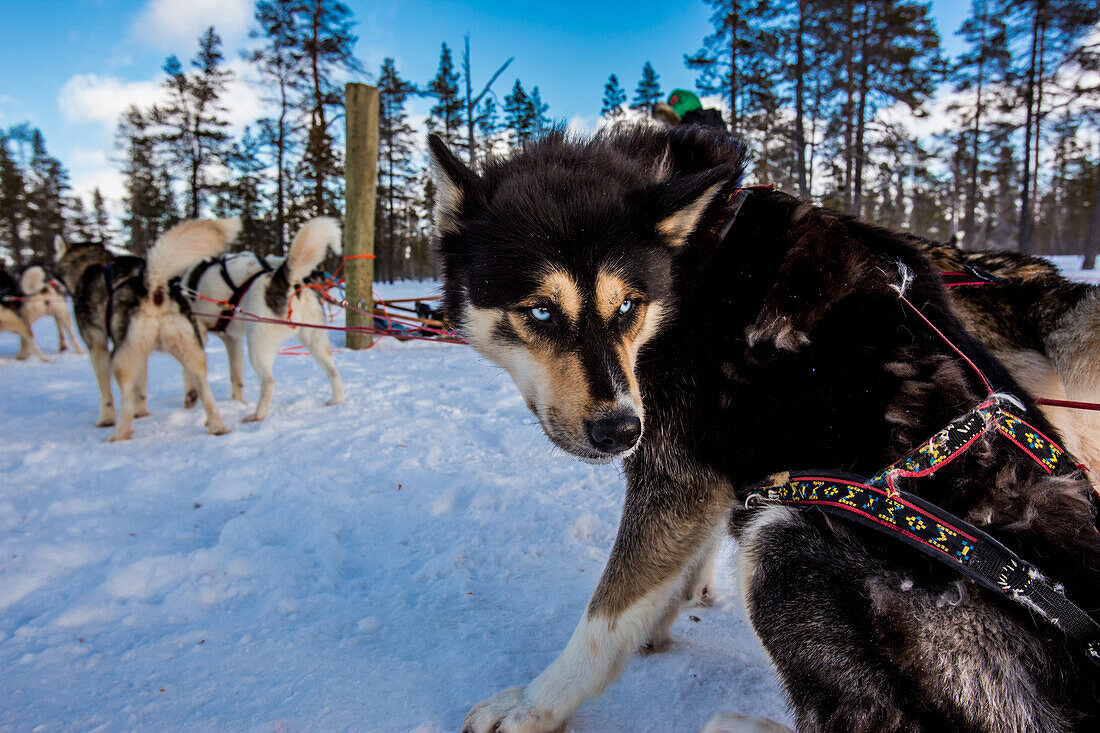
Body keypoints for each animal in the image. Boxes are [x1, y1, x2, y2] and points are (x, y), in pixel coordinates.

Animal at [54, 217, 237, 440]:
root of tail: (155, 288)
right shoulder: (141, 355)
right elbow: (140, 388)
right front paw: (141, 412)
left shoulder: (97, 347)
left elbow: (106, 392)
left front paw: (105, 420)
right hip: (192, 354)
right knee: (205, 393)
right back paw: (216, 426)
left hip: (121, 359)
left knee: (125, 400)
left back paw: (118, 435)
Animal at [180, 216, 343, 420]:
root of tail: (286, 278)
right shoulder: (232, 339)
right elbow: (236, 377)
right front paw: (238, 401)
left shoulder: (196, 334)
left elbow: (188, 371)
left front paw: (190, 398)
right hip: (315, 341)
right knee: (333, 372)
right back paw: (336, 400)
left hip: (257, 345)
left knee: (268, 382)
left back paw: (257, 415)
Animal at [431, 127, 1100, 730]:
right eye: (541, 312)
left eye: (627, 306)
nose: (620, 430)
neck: (691, 260)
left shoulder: (677, 473)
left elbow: (606, 618)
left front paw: (533, 706)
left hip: (787, 528)